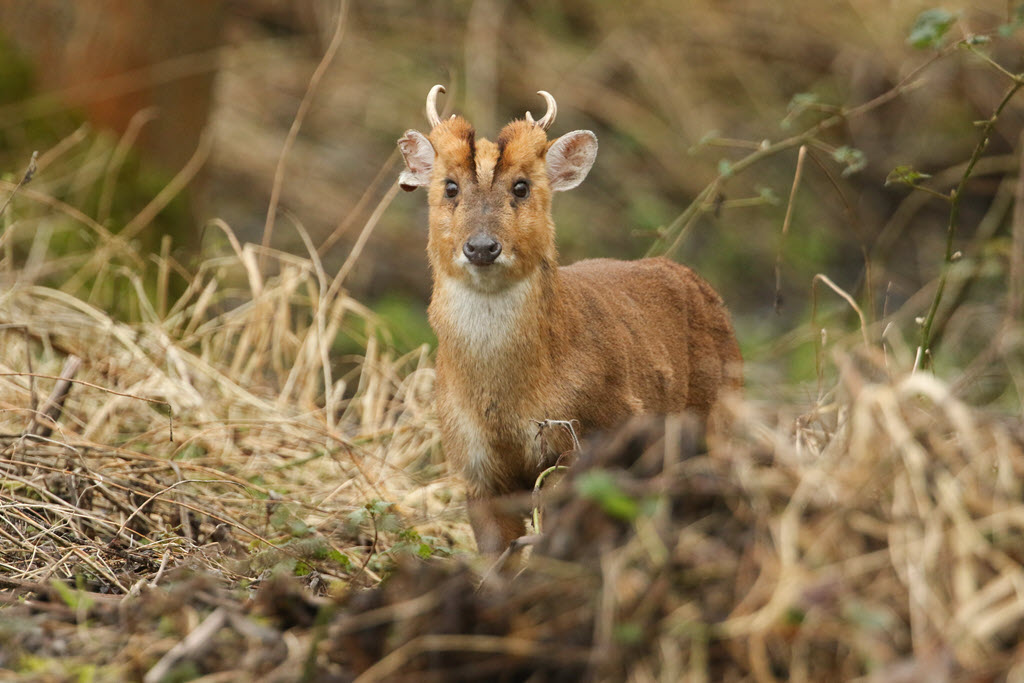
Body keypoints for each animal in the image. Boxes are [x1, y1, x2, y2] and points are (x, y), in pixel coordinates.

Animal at [398, 85, 742, 554]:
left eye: (522, 186)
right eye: (450, 186)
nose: (482, 246)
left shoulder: (595, 434)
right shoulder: (472, 463)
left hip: (721, 419)